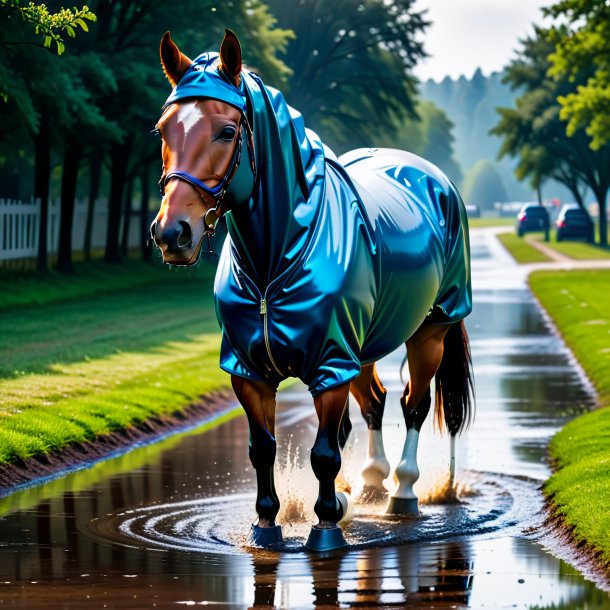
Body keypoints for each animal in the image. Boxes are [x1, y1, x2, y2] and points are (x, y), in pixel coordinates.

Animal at [150, 29, 472, 552]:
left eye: (226, 131)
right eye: (163, 130)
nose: (172, 233)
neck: (274, 262)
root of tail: (429, 175)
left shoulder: (329, 366)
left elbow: (324, 451)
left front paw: (326, 528)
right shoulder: (250, 372)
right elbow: (263, 448)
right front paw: (267, 525)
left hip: (429, 332)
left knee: (414, 405)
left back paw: (401, 492)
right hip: (362, 347)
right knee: (376, 402)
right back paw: (370, 483)